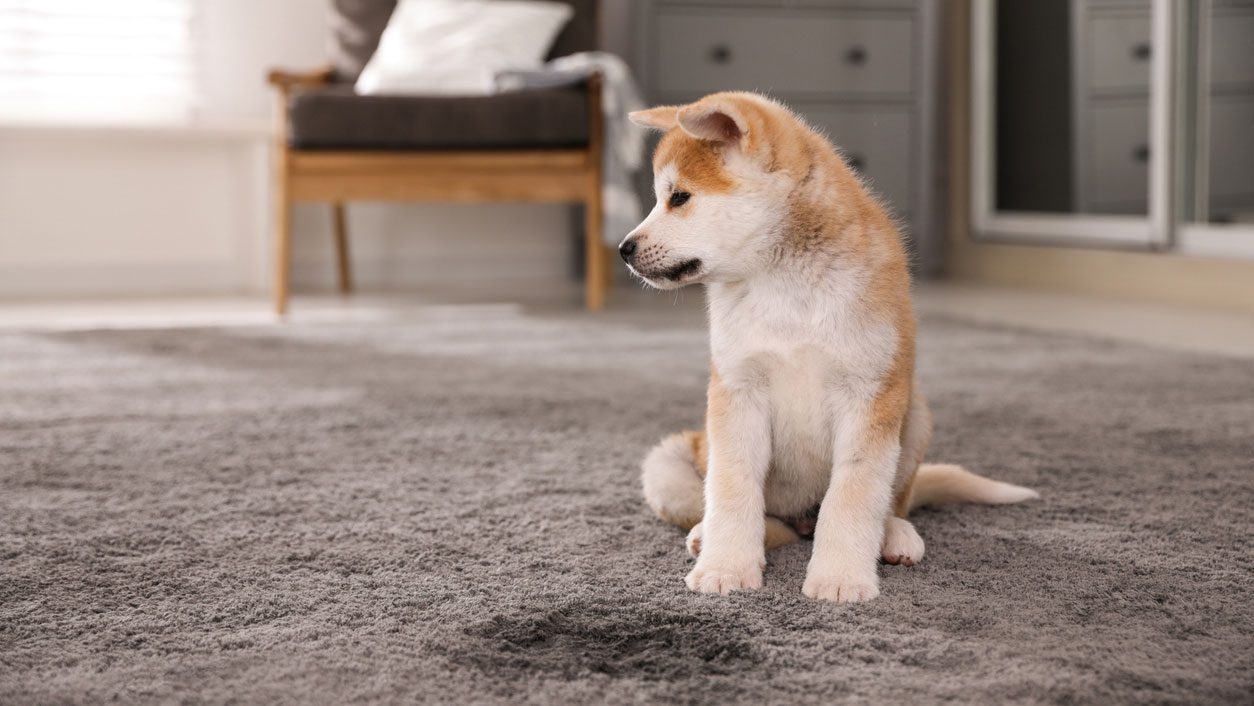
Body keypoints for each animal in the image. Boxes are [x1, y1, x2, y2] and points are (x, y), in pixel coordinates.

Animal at [621, 90, 1033, 604]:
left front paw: (840, 578)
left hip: (914, 412)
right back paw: (707, 537)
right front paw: (725, 567)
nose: (624, 249)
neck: (786, 286)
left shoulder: (868, 394)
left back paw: (894, 535)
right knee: (757, 516)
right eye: (662, 196)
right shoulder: (738, 391)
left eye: (678, 197)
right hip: (670, 465)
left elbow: (853, 496)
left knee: (892, 503)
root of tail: (801, 519)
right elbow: (733, 488)